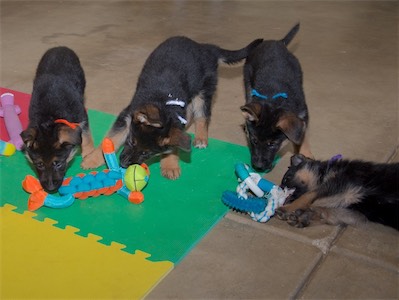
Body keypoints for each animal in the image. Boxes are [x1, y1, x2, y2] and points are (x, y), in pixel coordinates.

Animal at [20, 47, 94, 192]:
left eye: (58, 164)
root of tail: (60, 47)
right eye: (40, 164)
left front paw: (89, 155)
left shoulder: (82, 117)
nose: (50, 189)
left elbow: (86, 137)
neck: (50, 118)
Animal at [83, 36, 264, 179]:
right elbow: (112, 138)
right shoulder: (127, 118)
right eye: (131, 142)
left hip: (203, 91)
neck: (163, 103)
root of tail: (205, 47)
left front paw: (170, 165)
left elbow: (173, 144)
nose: (123, 163)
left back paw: (201, 138)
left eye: (146, 153)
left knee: (202, 115)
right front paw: (93, 158)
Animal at [241, 24, 312, 171]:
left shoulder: (303, 116)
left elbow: (301, 138)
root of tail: (277, 42)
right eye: (254, 140)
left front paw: (304, 154)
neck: (274, 99)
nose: (258, 167)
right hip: (247, 81)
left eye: (272, 144)